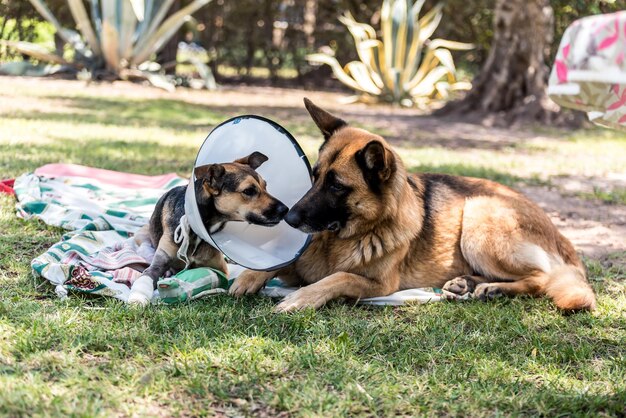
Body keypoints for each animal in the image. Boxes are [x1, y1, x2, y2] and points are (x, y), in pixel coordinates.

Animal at [130, 152, 288, 302]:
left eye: (265, 186)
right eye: (249, 191)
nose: (285, 210)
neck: (196, 231)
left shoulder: (220, 269)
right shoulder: (159, 261)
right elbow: (147, 275)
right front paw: (137, 298)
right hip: (141, 236)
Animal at [230, 99, 596, 312]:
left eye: (337, 186)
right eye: (315, 176)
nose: (288, 217)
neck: (346, 236)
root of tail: (561, 236)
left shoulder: (377, 285)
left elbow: (338, 278)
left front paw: (301, 298)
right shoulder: (300, 264)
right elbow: (280, 263)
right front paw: (249, 276)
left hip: (479, 218)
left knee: (542, 279)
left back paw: (493, 289)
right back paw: (467, 283)